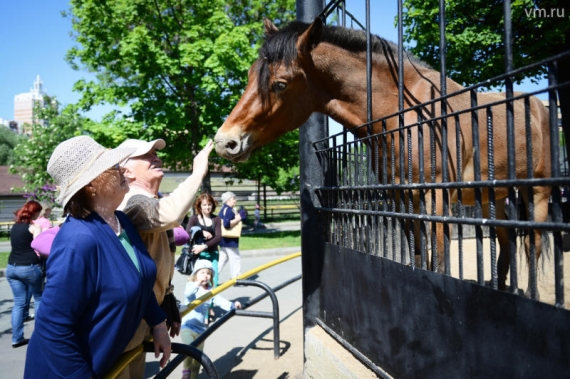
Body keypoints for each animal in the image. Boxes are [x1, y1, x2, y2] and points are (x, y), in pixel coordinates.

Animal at [214, 18, 552, 294]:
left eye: (280, 84)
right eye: (250, 75)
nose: (224, 142)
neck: (406, 114)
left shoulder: (436, 198)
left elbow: (440, 261)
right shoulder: (402, 197)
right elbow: (419, 256)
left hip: (537, 192)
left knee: (533, 244)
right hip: (491, 197)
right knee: (507, 239)